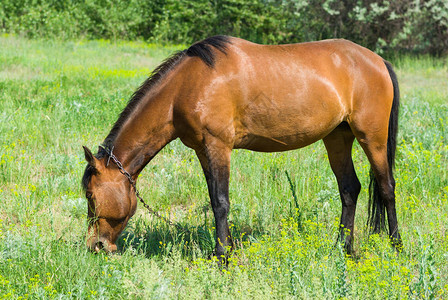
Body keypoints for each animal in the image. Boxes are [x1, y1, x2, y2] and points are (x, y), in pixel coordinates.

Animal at [81, 35, 402, 260]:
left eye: (90, 195)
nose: (96, 245)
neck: (186, 85)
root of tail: (378, 61)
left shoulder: (218, 146)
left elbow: (221, 202)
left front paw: (223, 256)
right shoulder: (203, 150)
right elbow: (214, 200)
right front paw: (223, 251)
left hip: (372, 137)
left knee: (386, 187)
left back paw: (396, 247)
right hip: (337, 137)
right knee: (349, 189)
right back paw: (343, 249)